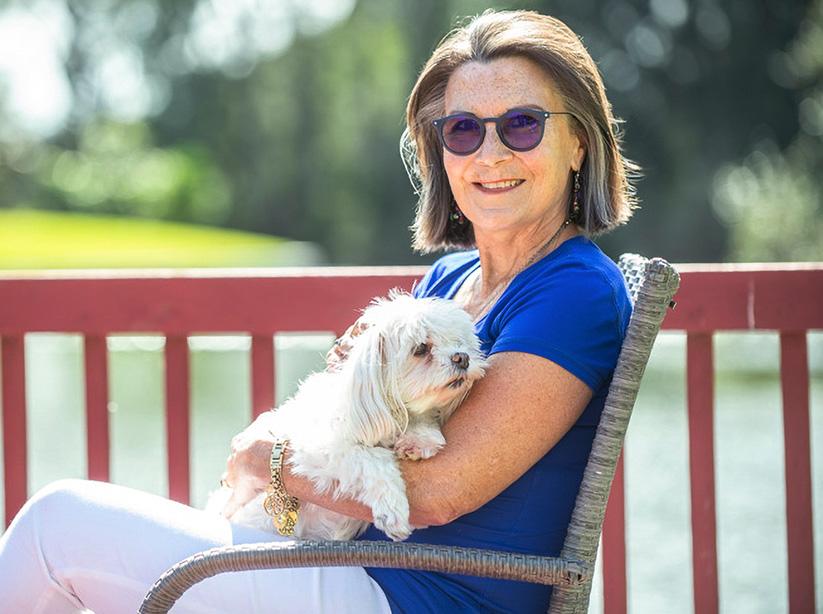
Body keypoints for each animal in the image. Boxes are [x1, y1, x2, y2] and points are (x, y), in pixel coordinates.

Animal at [209, 294, 486, 544]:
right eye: (421, 349)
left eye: (460, 342)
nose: (462, 357)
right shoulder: (317, 451)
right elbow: (371, 458)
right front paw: (392, 509)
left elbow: (421, 418)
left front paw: (420, 439)